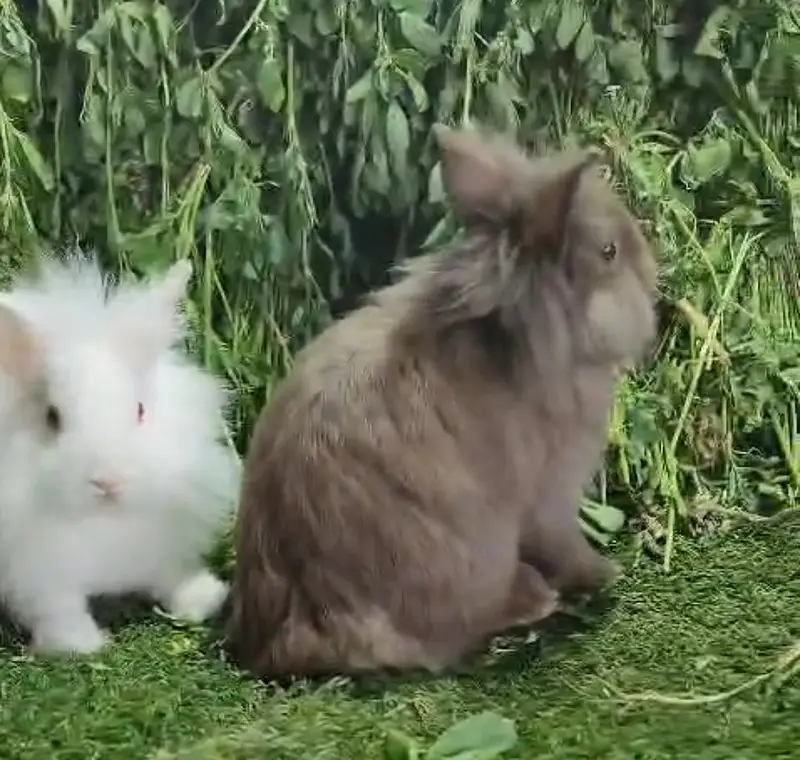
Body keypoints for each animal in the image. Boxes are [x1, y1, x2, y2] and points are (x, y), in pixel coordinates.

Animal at [0, 251, 240, 655]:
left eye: (140, 410)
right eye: (52, 417)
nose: (108, 480)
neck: (107, 520)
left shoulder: (162, 543)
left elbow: (171, 573)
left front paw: (204, 597)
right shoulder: (38, 572)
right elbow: (58, 605)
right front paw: (78, 643)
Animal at [225, 123, 659, 679]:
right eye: (608, 252)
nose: (654, 271)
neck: (519, 338)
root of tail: (286, 638)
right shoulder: (552, 498)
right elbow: (566, 546)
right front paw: (606, 572)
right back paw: (533, 599)